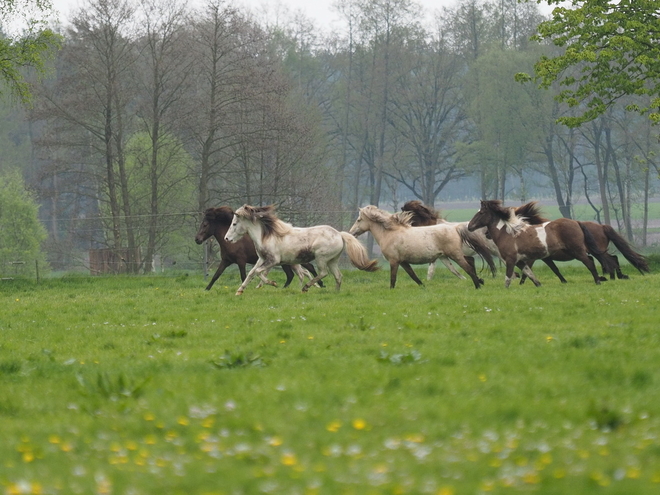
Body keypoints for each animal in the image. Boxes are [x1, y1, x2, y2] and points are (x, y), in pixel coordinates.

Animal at [193, 206, 322, 290]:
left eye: (205, 225)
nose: (197, 239)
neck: (233, 242)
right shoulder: (226, 261)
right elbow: (216, 275)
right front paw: (207, 289)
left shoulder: (241, 261)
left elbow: (244, 276)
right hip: (286, 262)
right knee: (292, 274)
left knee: (307, 268)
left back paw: (320, 284)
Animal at [224, 204, 378, 296]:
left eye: (234, 223)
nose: (226, 239)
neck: (266, 236)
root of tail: (339, 234)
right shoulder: (262, 259)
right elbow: (251, 273)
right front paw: (239, 291)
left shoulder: (273, 260)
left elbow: (258, 272)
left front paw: (273, 283)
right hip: (332, 261)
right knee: (338, 276)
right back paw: (336, 293)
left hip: (321, 258)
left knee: (323, 273)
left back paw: (306, 287)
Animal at [346, 205, 496, 290]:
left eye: (359, 220)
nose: (351, 232)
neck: (390, 233)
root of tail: (455, 228)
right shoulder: (403, 262)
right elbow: (413, 275)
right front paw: (423, 287)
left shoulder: (394, 261)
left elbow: (393, 278)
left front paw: (391, 290)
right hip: (451, 255)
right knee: (470, 261)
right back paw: (480, 281)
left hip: (455, 255)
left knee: (468, 267)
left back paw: (477, 286)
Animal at [466, 201, 616, 288]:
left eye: (481, 212)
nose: (469, 226)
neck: (507, 233)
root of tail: (576, 222)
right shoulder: (521, 260)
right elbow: (529, 273)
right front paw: (538, 285)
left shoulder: (511, 259)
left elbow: (508, 277)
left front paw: (507, 289)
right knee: (592, 260)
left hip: (577, 251)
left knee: (590, 262)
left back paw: (598, 281)